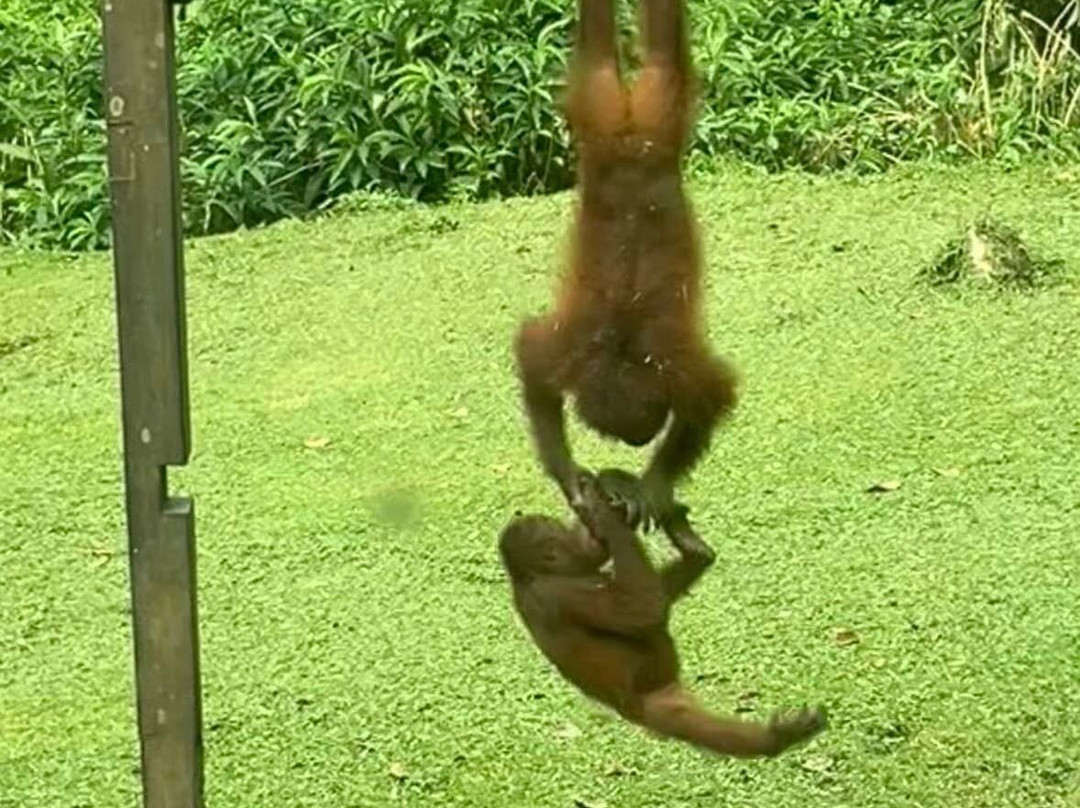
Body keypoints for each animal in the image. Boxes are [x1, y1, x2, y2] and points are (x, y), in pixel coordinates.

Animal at [498, 471, 827, 759]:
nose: (587, 536)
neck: (533, 576)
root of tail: (634, 714)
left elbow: (650, 599)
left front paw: (601, 498)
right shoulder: (560, 592)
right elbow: (641, 611)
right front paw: (600, 503)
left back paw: (695, 549)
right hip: (656, 705)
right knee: (699, 726)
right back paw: (775, 739)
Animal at [514, 0, 738, 529]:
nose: (639, 442)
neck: (623, 353)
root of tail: (632, 136)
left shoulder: (677, 366)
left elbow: (716, 394)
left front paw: (652, 485)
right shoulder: (569, 352)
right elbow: (531, 358)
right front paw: (570, 478)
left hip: (656, 112)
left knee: (663, 55)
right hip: (602, 111)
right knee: (603, 56)